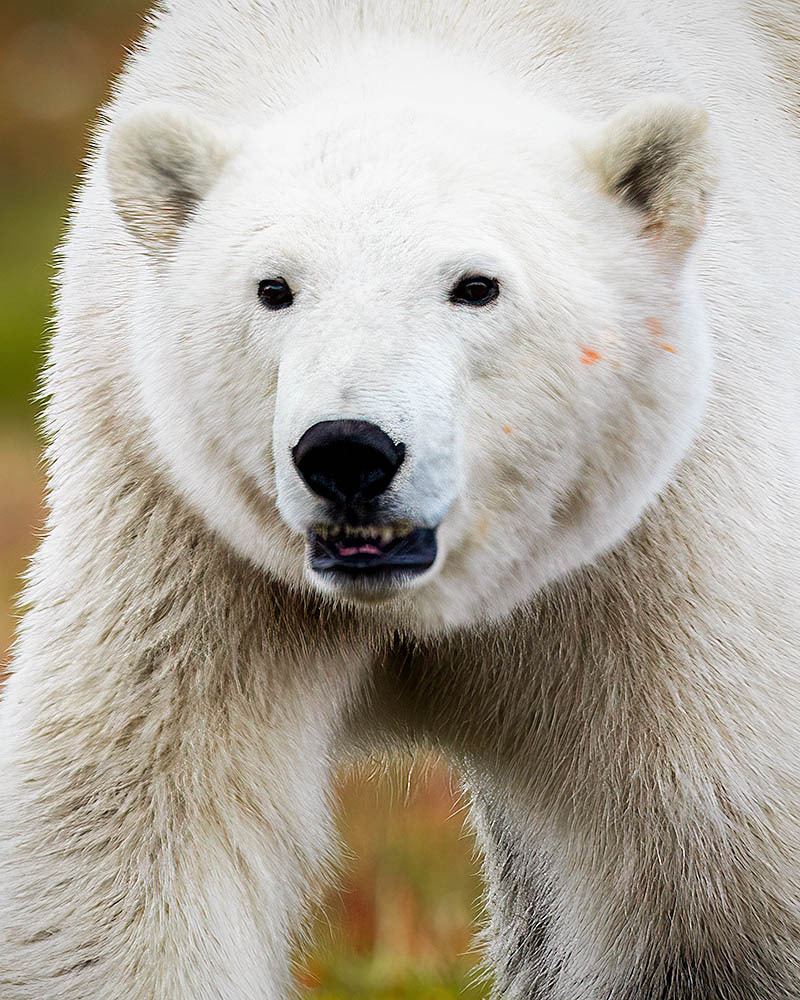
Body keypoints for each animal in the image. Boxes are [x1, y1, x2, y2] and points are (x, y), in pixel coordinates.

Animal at [1, 0, 800, 996]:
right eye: (273, 287)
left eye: (476, 286)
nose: (347, 451)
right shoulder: (182, 528)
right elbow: (131, 835)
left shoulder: (660, 548)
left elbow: (716, 882)